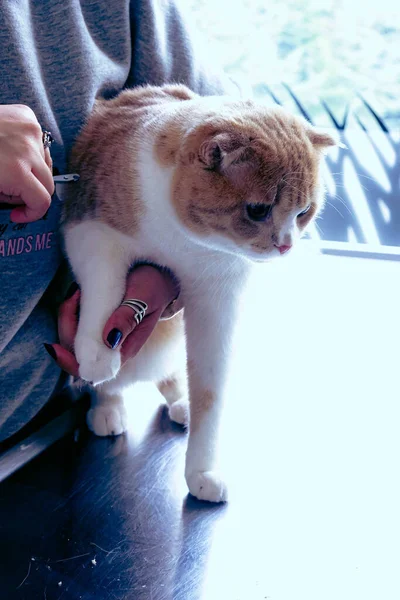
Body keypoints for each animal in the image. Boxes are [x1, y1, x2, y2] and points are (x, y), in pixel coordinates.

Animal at [63, 84, 334, 504]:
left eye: (304, 212)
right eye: (258, 211)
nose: (286, 245)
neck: (183, 242)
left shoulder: (217, 299)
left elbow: (209, 392)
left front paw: (201, 471)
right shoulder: (88, 230)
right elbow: (104, 286)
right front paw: (98, 350)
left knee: (171, 376)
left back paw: (181, 402)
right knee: (116, 384)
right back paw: (108, 404)